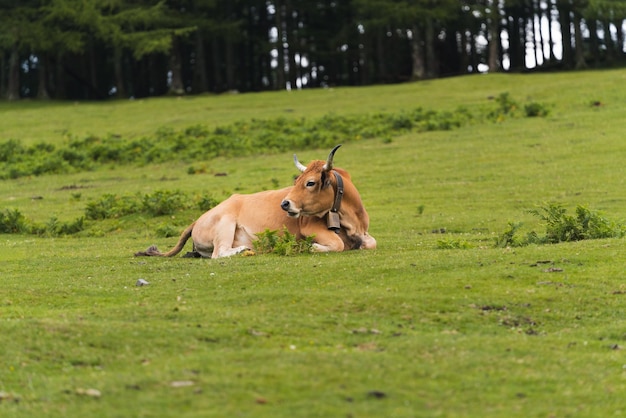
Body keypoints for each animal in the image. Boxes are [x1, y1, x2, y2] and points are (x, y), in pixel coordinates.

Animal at [133, 145, 372, 260]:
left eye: (310, 183)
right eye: (296, 181)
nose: (285, 204)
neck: (351, 219)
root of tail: (197, 220)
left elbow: (370, 243)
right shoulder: (310, 227)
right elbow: (336, 244)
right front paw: (310, 247)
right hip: (225, 222)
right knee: (219, 253)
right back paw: (243, 250)